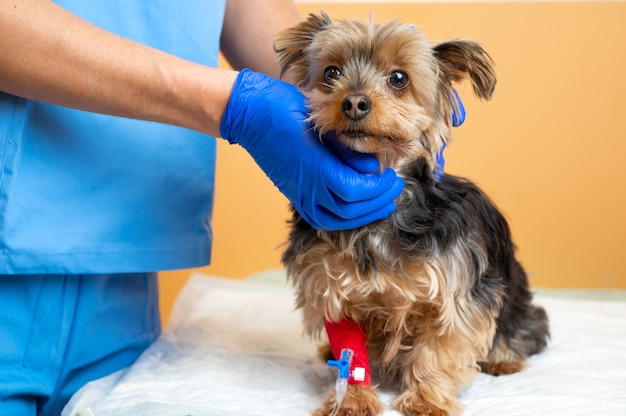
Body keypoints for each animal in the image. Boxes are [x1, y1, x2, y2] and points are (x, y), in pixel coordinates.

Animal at [276, 13, 544, 416]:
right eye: (331, 73)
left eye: (399, 78)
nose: (354, 102)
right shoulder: (334, 288)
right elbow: (350, 354)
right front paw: (351, 400)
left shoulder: (452, 294)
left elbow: (438, 349)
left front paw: (426, 399)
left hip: (513, 295)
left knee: (522, 325)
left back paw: (503, 359)